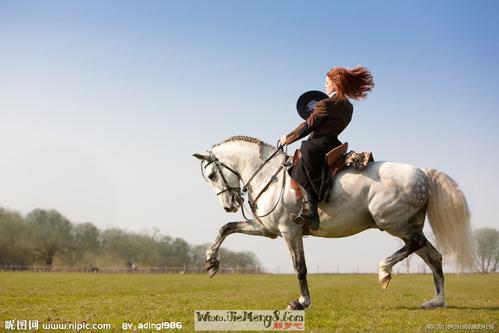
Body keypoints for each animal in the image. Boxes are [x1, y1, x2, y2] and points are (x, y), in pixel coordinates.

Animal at [193, 134, 474, 308]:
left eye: (211, 175)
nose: (229, 205)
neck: (268, 174)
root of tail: (423, 173)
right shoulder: (267, 229)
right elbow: (226, 228)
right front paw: (210, 262)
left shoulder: (289, 231)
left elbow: (300, 268)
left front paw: (302, 302)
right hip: (407, 225)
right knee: (433, 256)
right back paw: (436, 301)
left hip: (392, 222)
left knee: (416, 245)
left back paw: (384, 271)